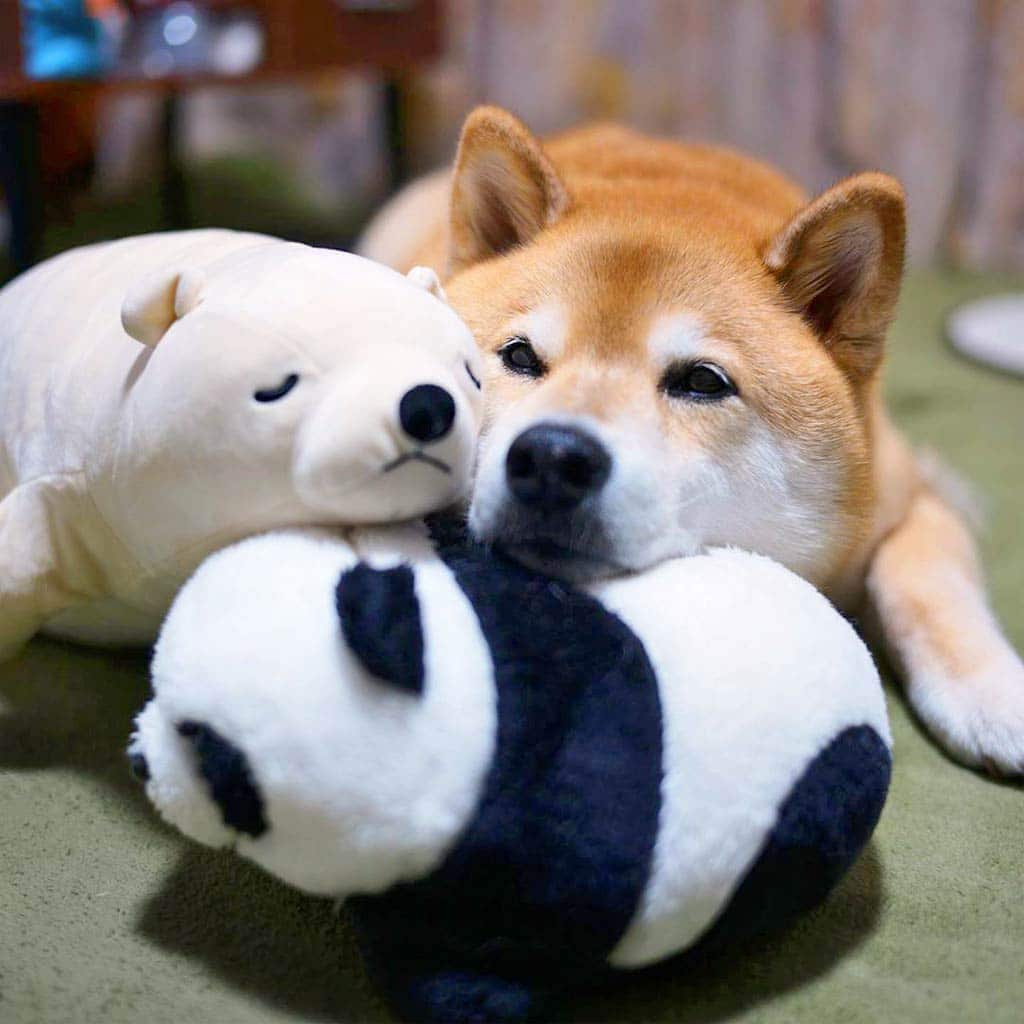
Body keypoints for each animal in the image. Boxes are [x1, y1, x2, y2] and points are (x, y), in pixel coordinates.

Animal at [362, 105, 1024, 774]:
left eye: (703, 382)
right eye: (520, 357)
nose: (552, 457)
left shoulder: (913, 494)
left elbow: (924, 585)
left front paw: (989, 693)